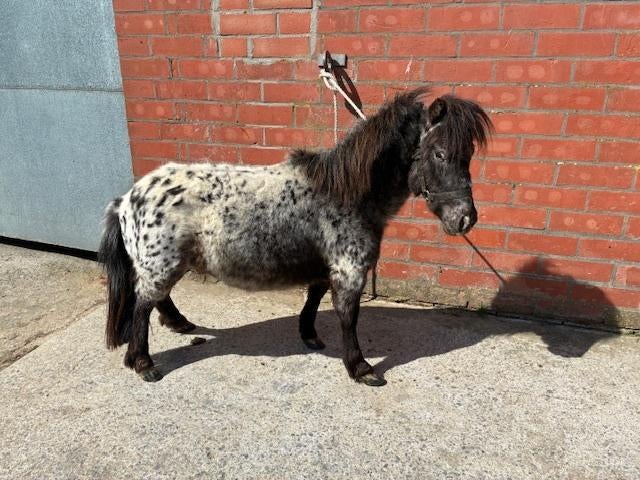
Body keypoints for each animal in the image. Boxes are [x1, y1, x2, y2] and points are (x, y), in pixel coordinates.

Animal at [98, 87, 492, 386]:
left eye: (468, 155)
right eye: (440, 153)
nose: (466, 218)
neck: (346, 194)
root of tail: (127, 198)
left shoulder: (326, 265)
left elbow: (314, 296)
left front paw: (309, 335)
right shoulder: (349, 271)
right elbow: (348, 317)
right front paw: (360, 368)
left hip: (168, 264)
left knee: (155, 300)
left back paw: (179, 324)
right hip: (162, 264)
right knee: (141, 305)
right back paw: (143, 363)